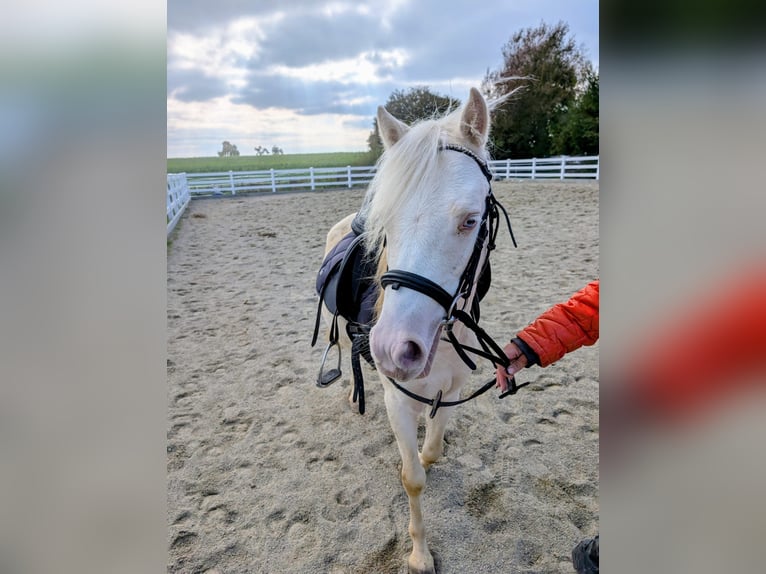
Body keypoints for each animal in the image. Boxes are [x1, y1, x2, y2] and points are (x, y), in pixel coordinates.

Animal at [315, 87, 516, 574]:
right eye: (385, 224)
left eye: (470, 220)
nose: (393, 349)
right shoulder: (397, 399)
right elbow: (413, 478)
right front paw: (420, 555)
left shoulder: (451, 389)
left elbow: (432, 452)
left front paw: (429, 446)